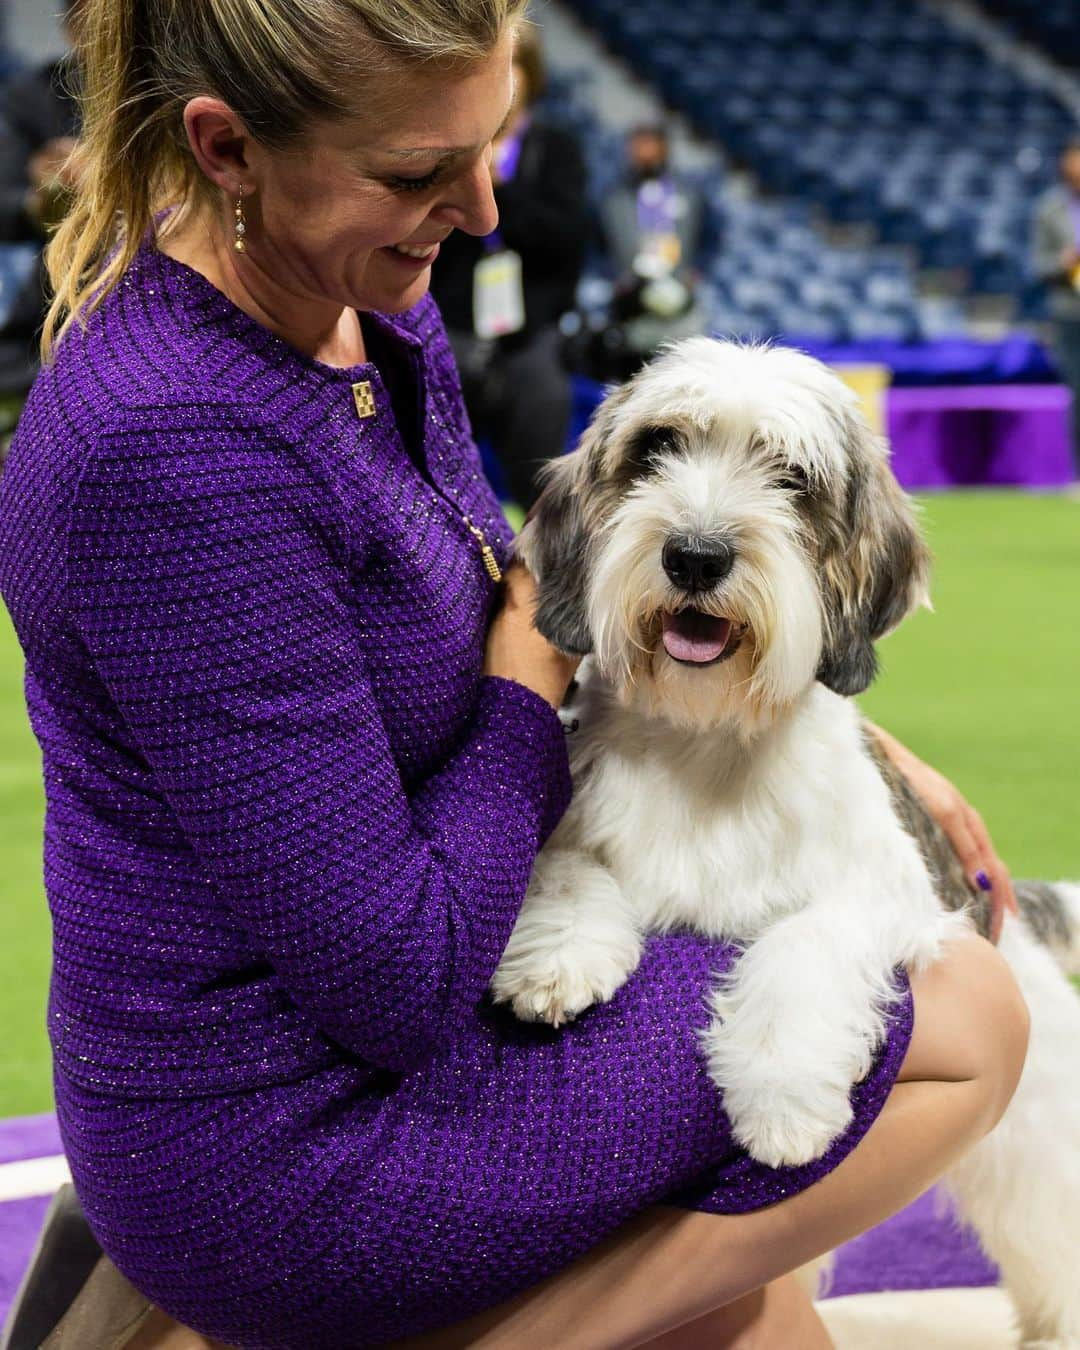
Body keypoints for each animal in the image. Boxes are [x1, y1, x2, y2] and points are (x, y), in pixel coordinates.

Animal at [491, 340, 1080, 1350]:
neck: (707, 742)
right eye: (657, 449)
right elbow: (562, 864)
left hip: (1038, 1111)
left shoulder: (887, 897)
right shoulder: (577, 814)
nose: (695, 555)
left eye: (793, 477)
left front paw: (783, 1095)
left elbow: (806, 940)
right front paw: (556, 958)